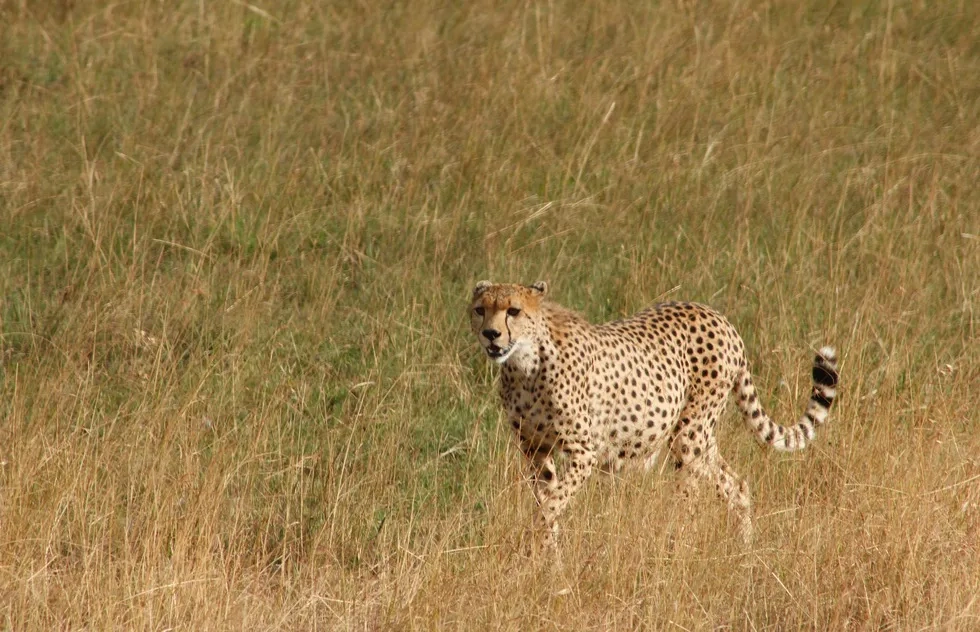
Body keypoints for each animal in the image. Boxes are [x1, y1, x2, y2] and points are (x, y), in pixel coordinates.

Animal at [468, 280, 839, 550]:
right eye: (480, 310)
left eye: (513, 310)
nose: (490, 334)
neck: (524, 365)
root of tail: (717, 316)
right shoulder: (535, 448)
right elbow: (548, 500)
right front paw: (549, 558)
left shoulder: (583, 451)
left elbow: (551, 503)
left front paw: (538, 540)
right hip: (699, 436)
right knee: (736, 484)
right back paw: (746, 549)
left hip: (689, 436)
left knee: (689, 500)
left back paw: (678, 550)